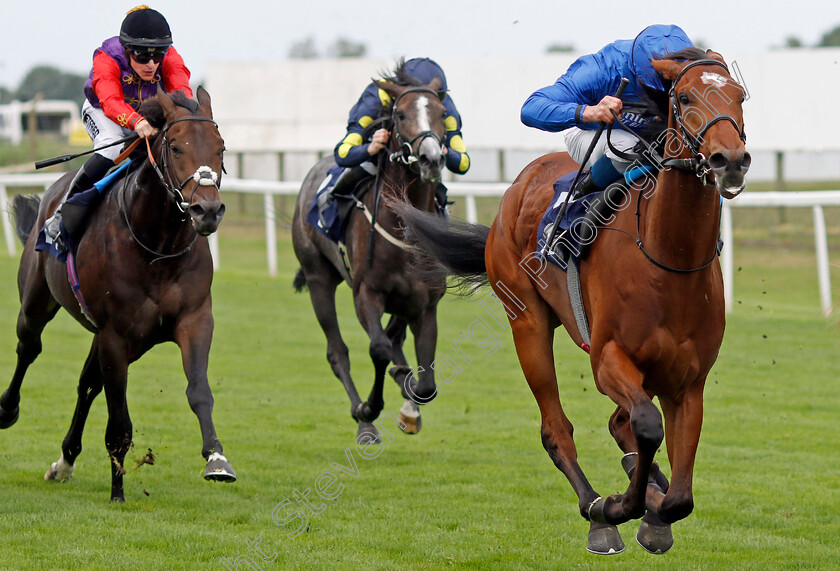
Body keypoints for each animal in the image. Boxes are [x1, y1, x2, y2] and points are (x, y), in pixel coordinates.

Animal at [0, 87, 235, 502]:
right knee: (29, 348)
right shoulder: (115, 336)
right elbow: (119, 420)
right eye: (175, 146)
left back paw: (65, 462)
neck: (157, 246)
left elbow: (199, 390)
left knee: (87, 383)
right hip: (36, 302)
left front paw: (216, 459)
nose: (207, 210)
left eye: (220, 147)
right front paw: (118, 491)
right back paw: (7, 410)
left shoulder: (193, 320)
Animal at [292, 68, 450, 442]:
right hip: (319, 278)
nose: (431, 159)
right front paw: (369, 408)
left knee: (394, 338)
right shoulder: (366, 293)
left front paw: (409, 396)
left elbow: (426, 385)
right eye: (400, 114)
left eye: (442, 113)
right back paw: (364, 422)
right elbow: (377, 349)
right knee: (338, 352)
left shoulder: (425, 303)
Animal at [398, 50, 752, 556]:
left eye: (739, 95)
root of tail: (521, 182)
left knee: (619, 425)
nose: (731, 159)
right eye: (684, 97)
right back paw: (597, 513)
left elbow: (680, 495)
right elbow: (647, 425)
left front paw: (655, 514)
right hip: (527, 323)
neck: (669, 259)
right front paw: (618, 507)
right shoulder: (608, 360)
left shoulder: (689, 382)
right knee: (558, 430)